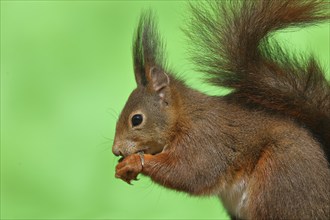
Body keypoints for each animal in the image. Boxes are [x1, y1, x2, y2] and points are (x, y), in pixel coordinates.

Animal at [112, 0, 328, 219]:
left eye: (136, 119)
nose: (116, 150)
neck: (184, 116)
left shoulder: (204, 140)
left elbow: (189, 172)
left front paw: (133, 162)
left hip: (277, 180)